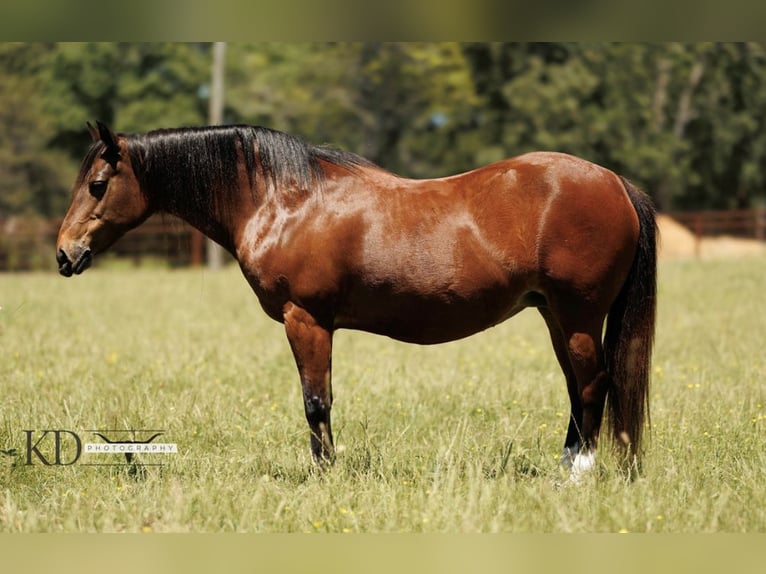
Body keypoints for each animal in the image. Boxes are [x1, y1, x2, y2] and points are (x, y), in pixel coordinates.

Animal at [56, 121, 657, 479]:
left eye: (98, 184)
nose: (64, 254)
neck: (285, 200)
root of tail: (616, 183)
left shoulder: (306, 320)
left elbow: (315, 401)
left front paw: (325, 476)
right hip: (556, 315)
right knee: (578, 388)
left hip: (578, 315)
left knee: (594, 384)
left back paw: (579, 474)